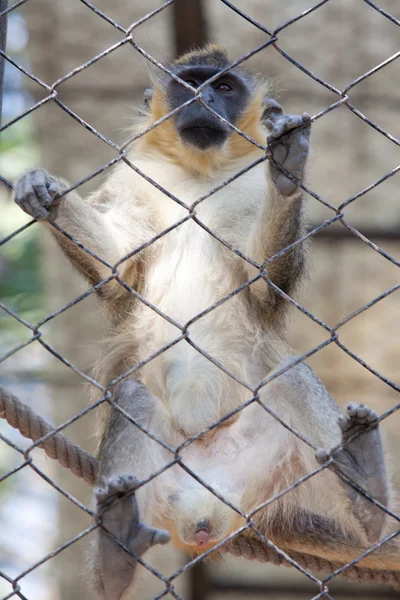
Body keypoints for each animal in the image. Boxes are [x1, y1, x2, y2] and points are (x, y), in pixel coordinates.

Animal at [13, 44, 400, 596]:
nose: (203, 100)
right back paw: (116, 551)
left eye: (224, 87)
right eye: (190, 84)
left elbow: (262, 280)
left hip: (270, 468)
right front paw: (43, 190)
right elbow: (115, 268)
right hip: (164, 480)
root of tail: (206, 512)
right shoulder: (137, 175)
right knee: (133, 398)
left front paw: (287, 169)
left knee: (287, 375)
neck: (200, 174)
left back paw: (364, 492)